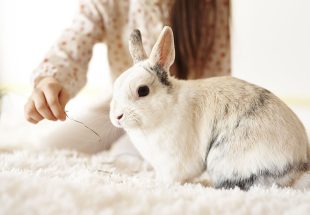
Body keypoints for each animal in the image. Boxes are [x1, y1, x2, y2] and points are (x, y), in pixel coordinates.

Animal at [109, 26, 310, 189]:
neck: (167, 108)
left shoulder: (173, 163)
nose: (117, 117)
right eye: (116, 84)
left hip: (222, 160)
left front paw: (156, 183)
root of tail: (299, 167)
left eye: (143, 91)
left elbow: (172, 178)